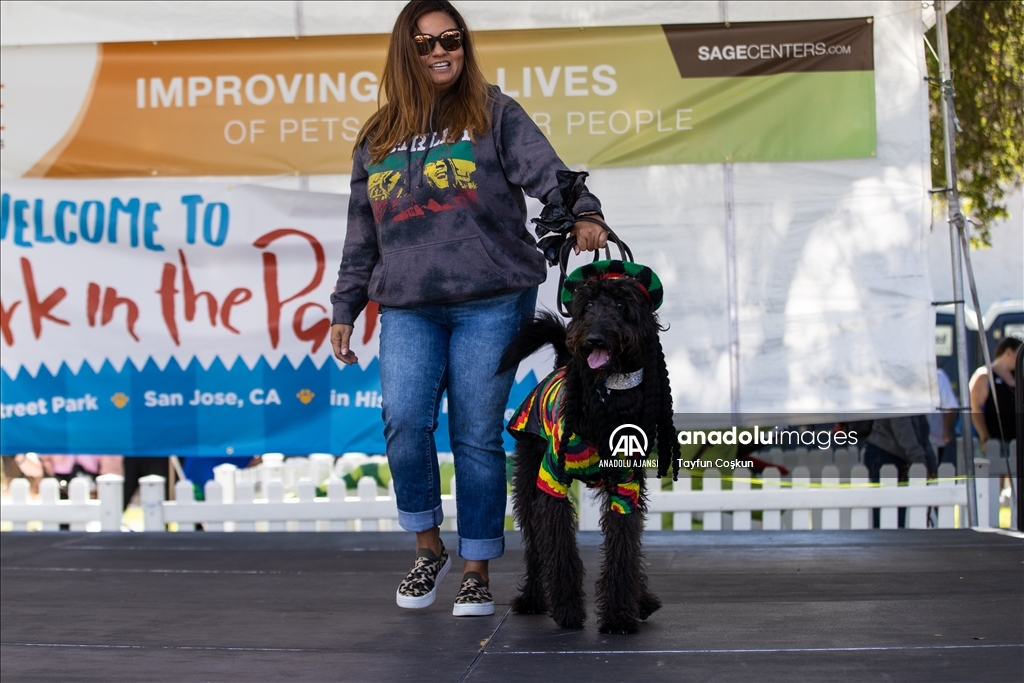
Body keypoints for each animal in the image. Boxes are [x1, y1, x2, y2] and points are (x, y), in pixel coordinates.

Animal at [497, 274, 679, 634]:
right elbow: (559, 548)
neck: (607, 397)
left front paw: (620, 615)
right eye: (589, 304)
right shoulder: (550, 485)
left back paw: (641, 600)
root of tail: (562, 365)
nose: (595, 337)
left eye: (622, 304)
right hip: (526, 484)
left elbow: (624, 547)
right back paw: (533, 598)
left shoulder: (626, 487)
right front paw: (567, 609)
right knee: (535, 545)